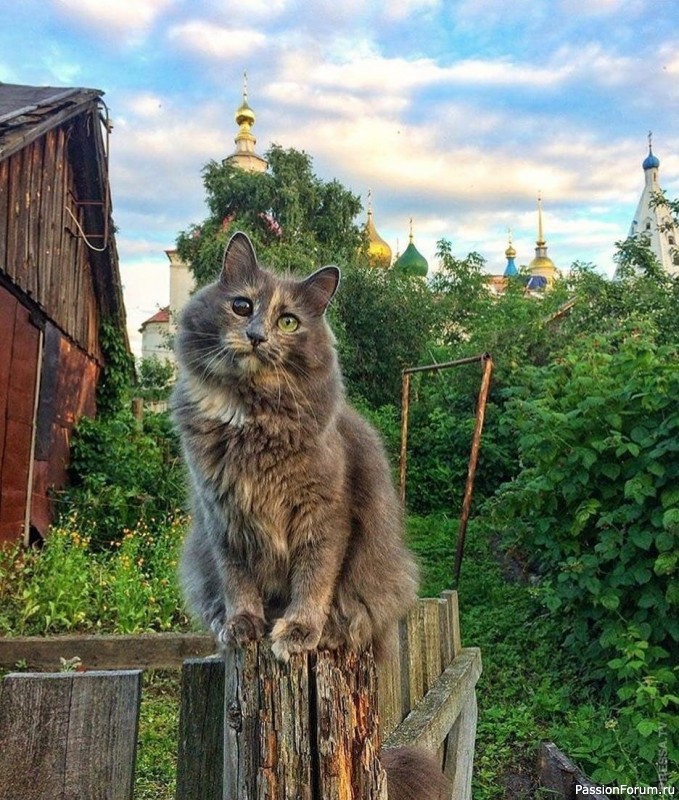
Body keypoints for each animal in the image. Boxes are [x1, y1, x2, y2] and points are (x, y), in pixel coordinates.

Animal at [173, 231, 418, 664]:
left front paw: (299, 629)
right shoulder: (222, 516)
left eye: (288, 321)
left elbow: (313, 577)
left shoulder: (324, 514)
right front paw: (243, 624)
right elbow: (236, 579)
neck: (251, 419)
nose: (256, 336)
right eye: (241, 306)